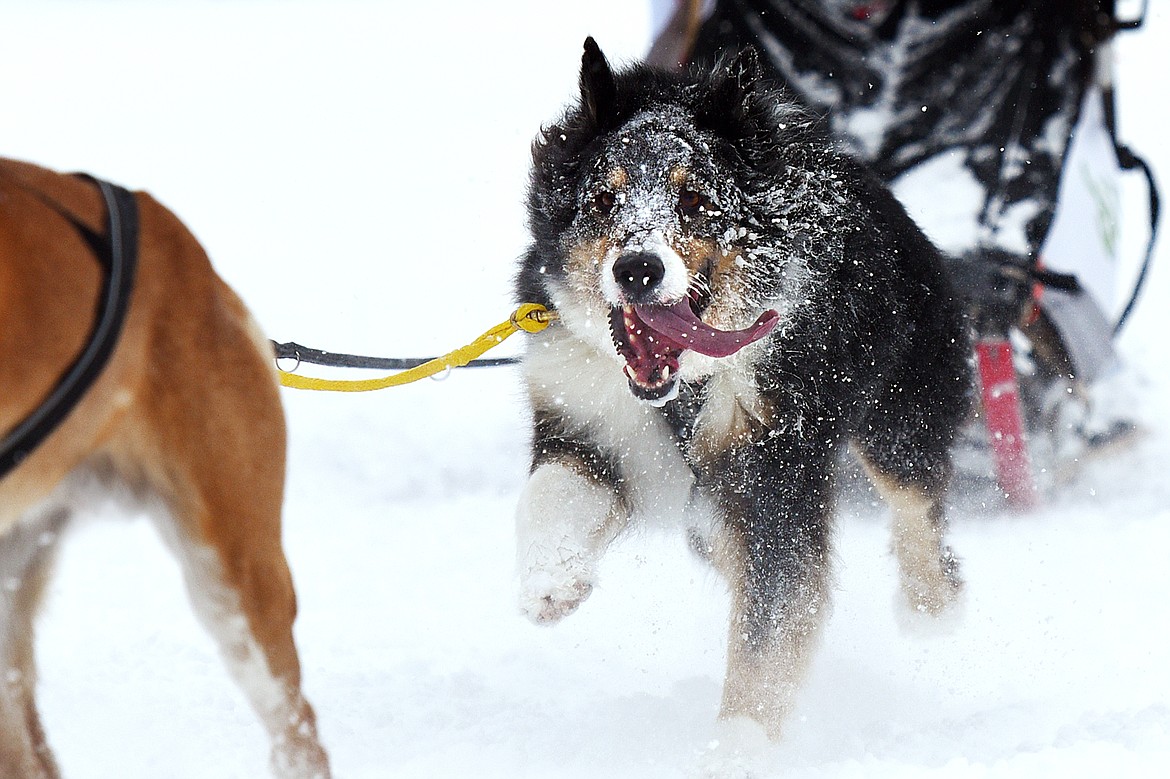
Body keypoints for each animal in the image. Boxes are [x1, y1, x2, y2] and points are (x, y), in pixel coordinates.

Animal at [512, 40, 968, 748]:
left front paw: (737, 747)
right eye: (605, 198)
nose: (636, 269)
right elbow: (548, 496)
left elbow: (769, 627)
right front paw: (550, 578)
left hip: (898, 417)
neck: (687, 388)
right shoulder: (584, 415)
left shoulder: (773, 475)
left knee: (916, 499)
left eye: (696, 199)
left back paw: (931, 609)